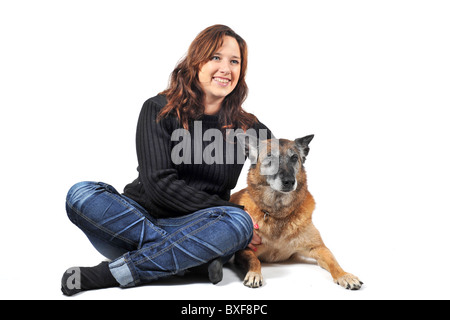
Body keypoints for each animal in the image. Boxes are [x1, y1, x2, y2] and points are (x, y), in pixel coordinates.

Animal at [230, 135, 364, 290]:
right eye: (270, 157)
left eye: (294, 158)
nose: (289, 181)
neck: (278, 214)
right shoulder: (245, 250)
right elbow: (254, 260)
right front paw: (254, 274)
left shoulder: (319, 248)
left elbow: (333, 262)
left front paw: (344, 275)